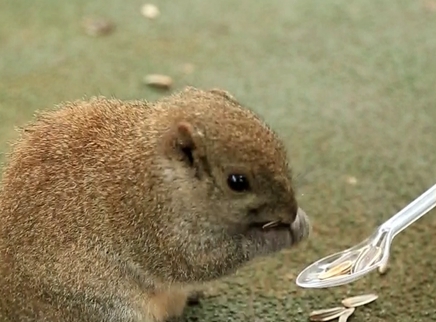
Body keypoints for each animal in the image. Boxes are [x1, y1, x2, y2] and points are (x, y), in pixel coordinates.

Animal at [0, 86, 310, 322]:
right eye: (237, 181)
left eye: (279, 148)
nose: (290, 211)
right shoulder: (150, 222)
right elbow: (196, 262)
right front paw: (276, 237)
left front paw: (301, 222)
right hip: (106, 307)